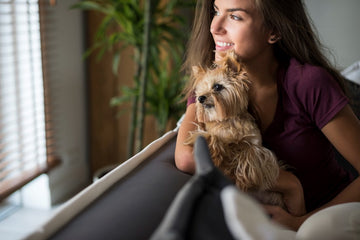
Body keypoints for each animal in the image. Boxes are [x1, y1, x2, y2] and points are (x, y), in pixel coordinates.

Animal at [186, 51, 284, 209]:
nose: (200, 98)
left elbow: (250, 152)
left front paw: (246, 179)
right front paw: (213, 149)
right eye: (199, 90)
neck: (229, 120)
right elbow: (212, 137)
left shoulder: (256, 145)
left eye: (217, 87)